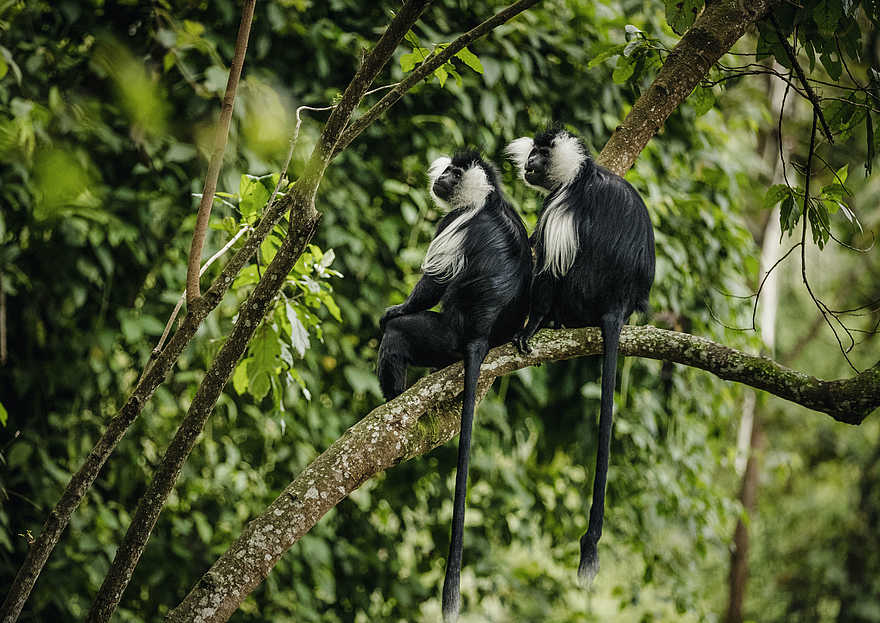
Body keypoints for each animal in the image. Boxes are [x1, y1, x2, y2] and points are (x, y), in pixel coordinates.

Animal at [377, 151, 532, 622]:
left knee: (399, 337)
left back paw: (392, 400)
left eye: (454, 173)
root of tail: (479, 333)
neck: (487, 198)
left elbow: (433, 283)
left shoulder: (453, 222)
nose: (441, 177)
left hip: (442, 335)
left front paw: (395, 308)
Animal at [506, 127, 655, 586]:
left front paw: (531, 326)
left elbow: (548, 268)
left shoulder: (562, 207)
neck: (580, 174)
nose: (528, 163)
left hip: (581, 293)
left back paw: (550, 322)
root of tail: (617, 304)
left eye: (540, 154)